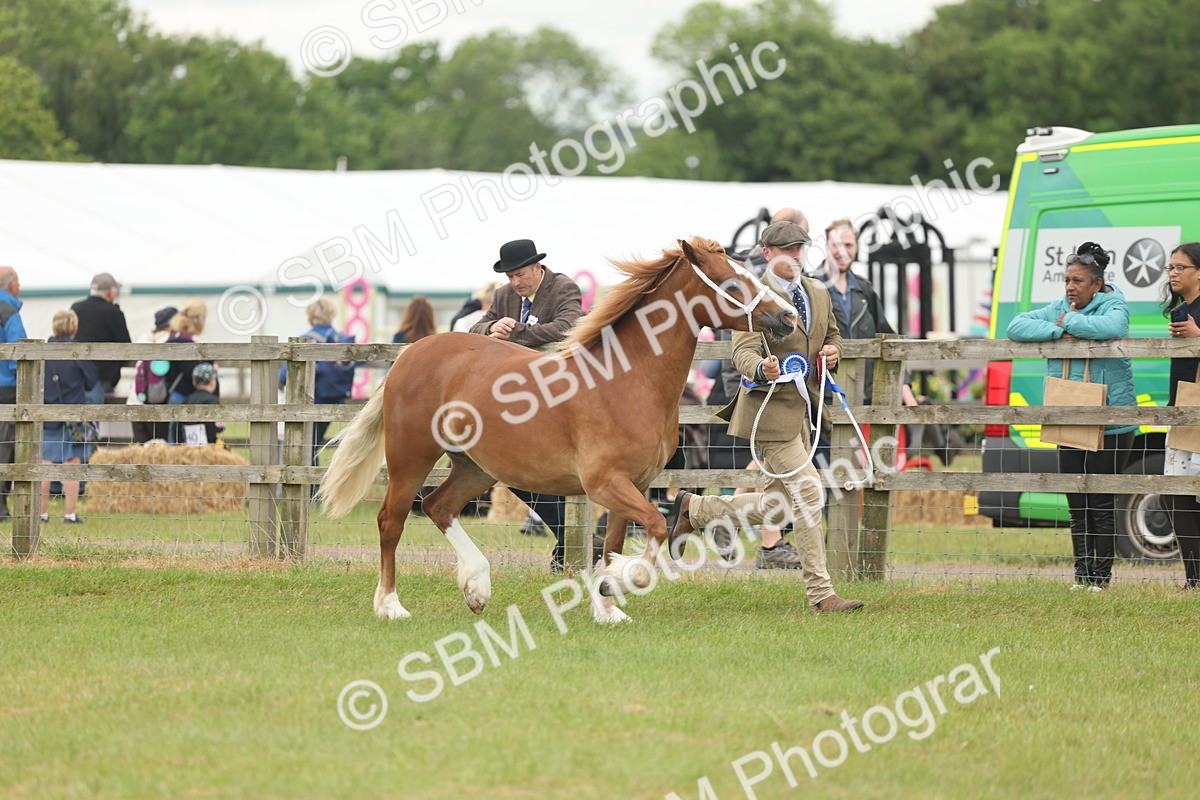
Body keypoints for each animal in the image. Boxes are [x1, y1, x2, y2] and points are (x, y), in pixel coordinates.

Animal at [316, 237, 797, 623]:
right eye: (732, 284)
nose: (789, 316)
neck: (628, 381)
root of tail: (410, 354)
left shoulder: (634, 484)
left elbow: (614, 543)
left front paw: (608, 605)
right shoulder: (604, 483)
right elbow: (656, 528)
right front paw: (625, 582)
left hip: (476, 467)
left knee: (438, 507)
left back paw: (477, 588)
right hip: (411, 456)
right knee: (392, 520)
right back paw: (391, 606)